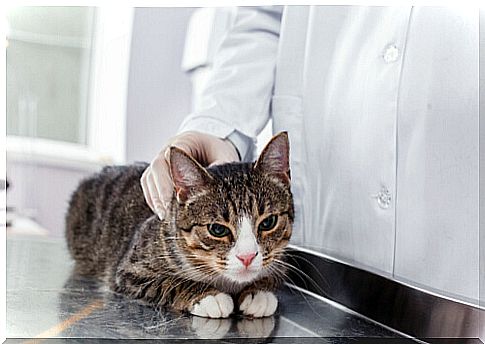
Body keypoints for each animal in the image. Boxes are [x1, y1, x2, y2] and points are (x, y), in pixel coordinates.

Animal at [63, 131, 292, 318]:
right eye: (217, 229)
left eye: (268, 222)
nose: (247, 257)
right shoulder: (129, 271)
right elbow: (168, 282)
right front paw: (208, 297)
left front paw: (259, 292)